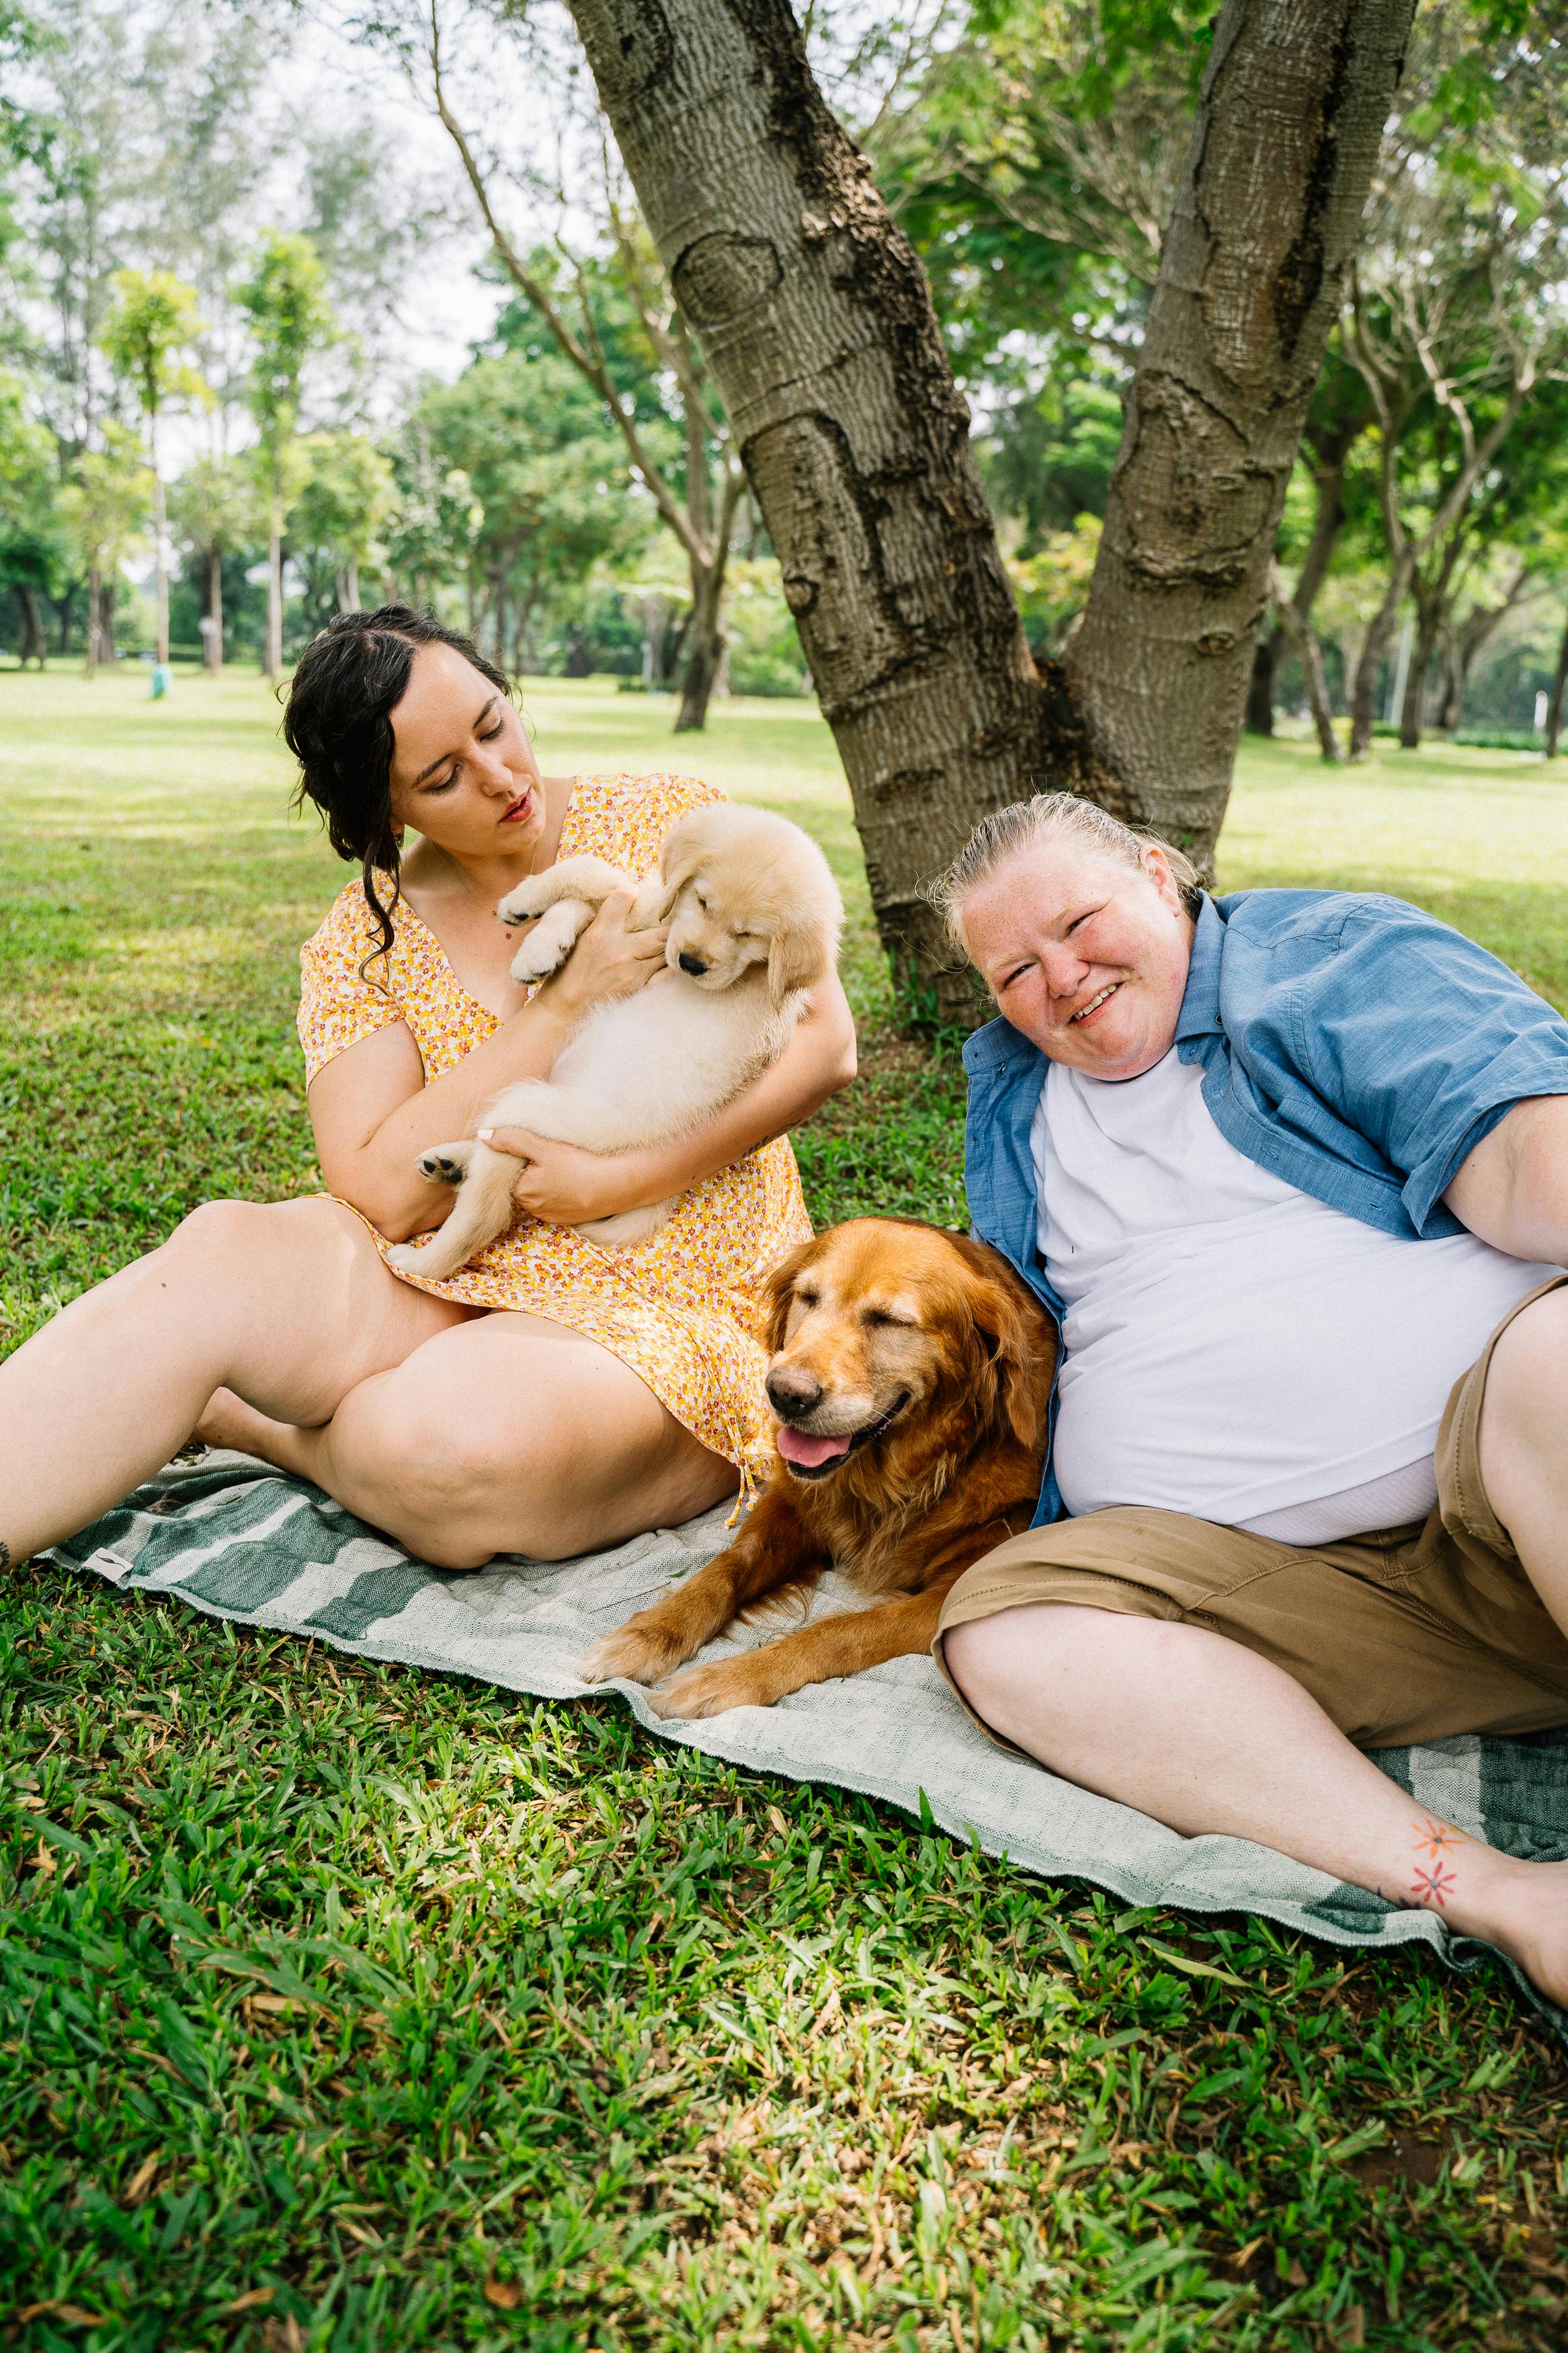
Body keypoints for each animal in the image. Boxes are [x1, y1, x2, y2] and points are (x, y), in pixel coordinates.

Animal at [385, 809, 841, 1289]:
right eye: (702, 901)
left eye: (749, 933)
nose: (691, 964)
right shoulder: (650, 915)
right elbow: (584, 894)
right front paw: (540, 944)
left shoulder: (647, 916)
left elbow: (587, 868)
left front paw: (522, 903)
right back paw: (449, 1162)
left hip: (535, 1109)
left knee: (486, 1208)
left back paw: (422, 1260)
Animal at [583, 1224, 1062, 1722]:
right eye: (808, 1298)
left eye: (889, 1320)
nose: (784, 1393)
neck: (900, 1477)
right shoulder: (792, 1504)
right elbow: (728, 1567)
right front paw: (650, 1634)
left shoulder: (952, 1597)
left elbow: (841, 1632)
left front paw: (729, 1678)